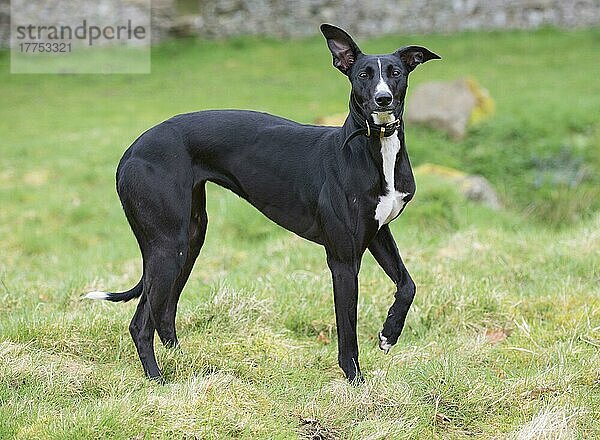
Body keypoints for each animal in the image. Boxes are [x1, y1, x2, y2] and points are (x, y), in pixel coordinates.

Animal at [85, 23, 440, 382]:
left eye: (396, 73)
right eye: (363, 75)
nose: (383, 99)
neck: (371, 147)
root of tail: (131, 151)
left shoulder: (377, 233)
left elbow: (407, 285)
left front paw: (388, 334)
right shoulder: (343, 259)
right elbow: (347, 332)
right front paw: (355, 380)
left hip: (189, 240)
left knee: (164, 312)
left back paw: (184, 362)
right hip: (167, 247)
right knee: (140, 323)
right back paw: (158, 380)